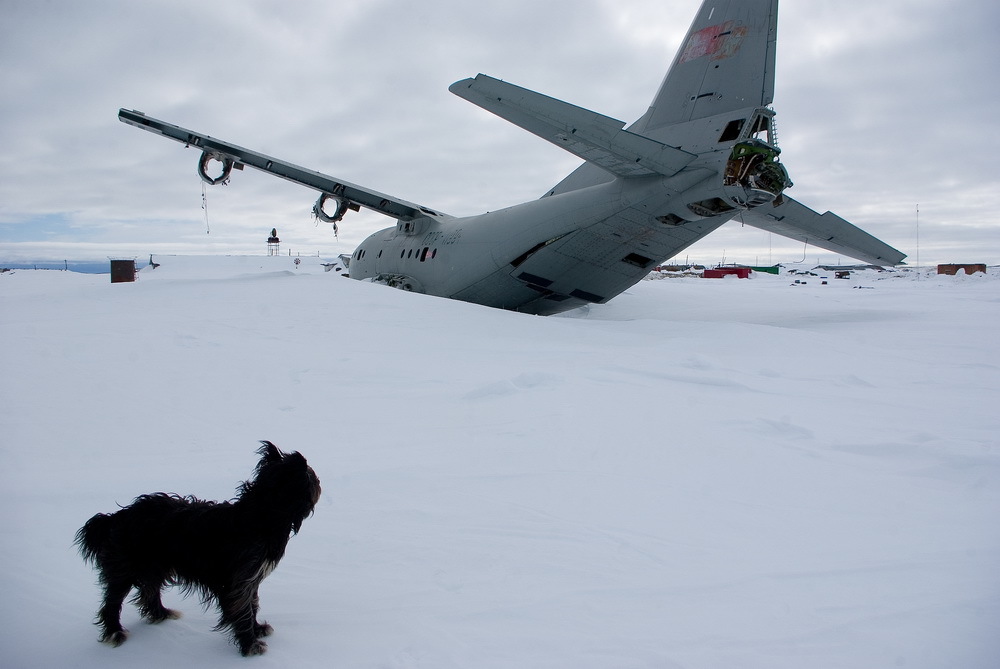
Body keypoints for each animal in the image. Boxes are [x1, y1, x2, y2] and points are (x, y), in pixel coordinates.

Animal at [76, 441, 321, 656]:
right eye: (311, 475)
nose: (319, 480)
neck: (262, 514)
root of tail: (116, 517)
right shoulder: (240, 581)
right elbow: (242, 611)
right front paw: (250, 645)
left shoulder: (250, 580)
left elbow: (252, 606)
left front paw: (257, 628)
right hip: (125, 567)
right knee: (112, 602)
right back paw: (115, 633)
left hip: (156, 565)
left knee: (149, 591)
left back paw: (161, 613)